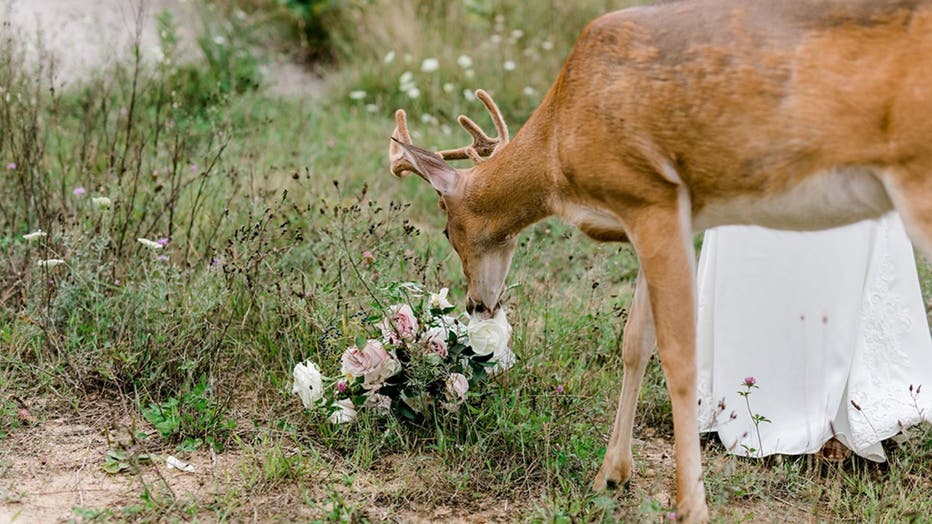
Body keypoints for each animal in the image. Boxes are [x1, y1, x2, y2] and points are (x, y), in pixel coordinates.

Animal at [384, 2, 932, 520]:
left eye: (447, 226)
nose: (477, 304)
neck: (559, 143)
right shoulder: (654, 214)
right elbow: (635, 342)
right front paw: (610, 475)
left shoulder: (648, 193)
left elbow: (678, 355)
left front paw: (690, 505)